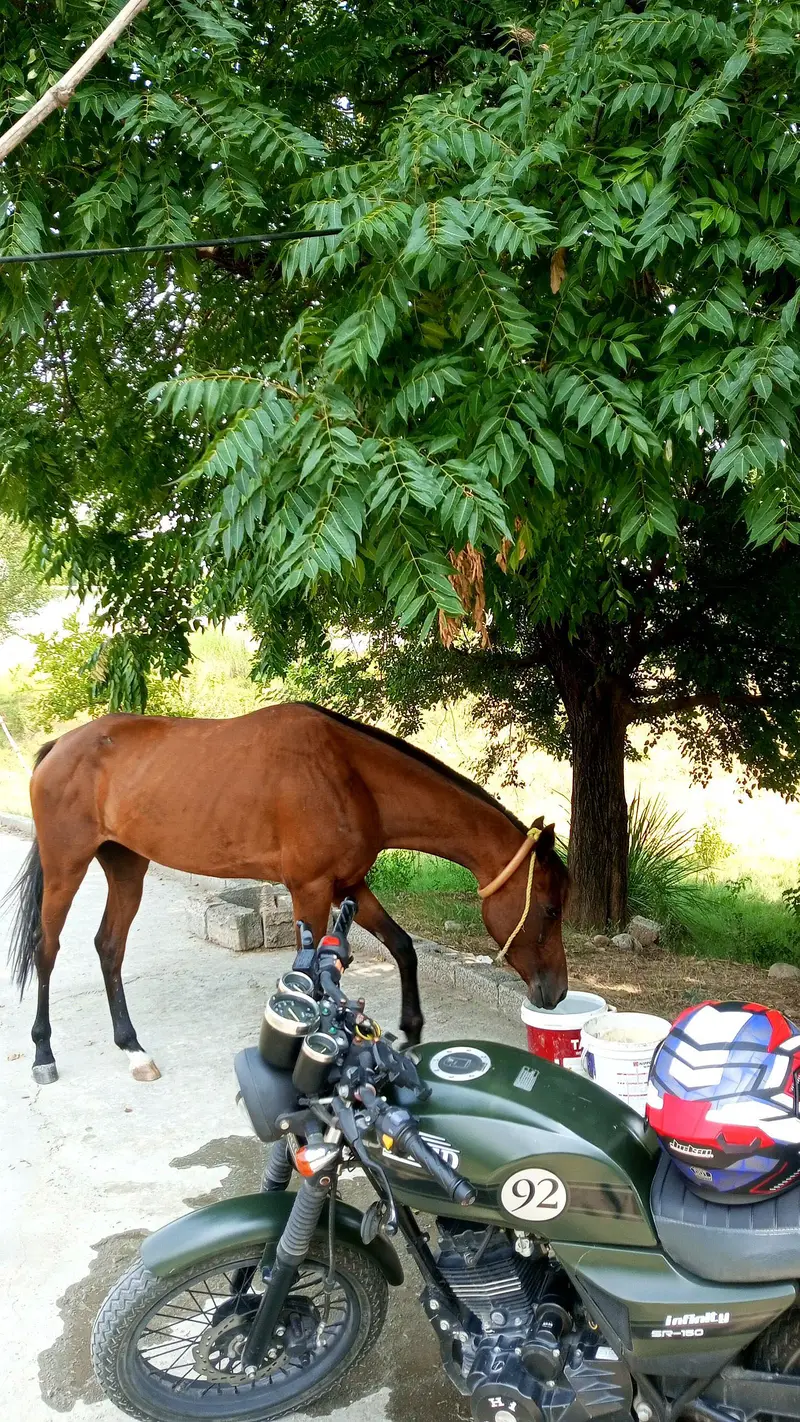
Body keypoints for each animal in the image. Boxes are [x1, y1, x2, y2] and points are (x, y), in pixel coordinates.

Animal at [3, 702, 569, 1085]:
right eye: (549, 908)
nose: (557, 994)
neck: (348, 774)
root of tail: (58, 748)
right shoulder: (310, 891)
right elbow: (311, 984)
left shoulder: (350, 884)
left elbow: (403, 947)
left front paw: (411, 1031)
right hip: (67, 866)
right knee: (46, 949)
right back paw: (43, 1055)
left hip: (126, 867)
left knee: (109, 947)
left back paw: (133, 1049)